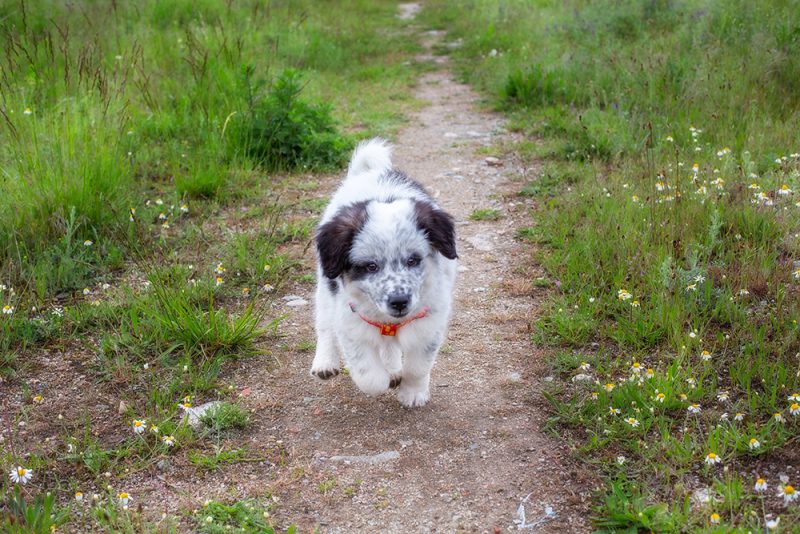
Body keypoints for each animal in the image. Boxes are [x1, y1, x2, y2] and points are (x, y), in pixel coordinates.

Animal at [310, 139, 460, 410]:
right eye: (371, 266)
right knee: (324, 323)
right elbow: (367, 375)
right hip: (325, 286)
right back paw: (325, 362)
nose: (399, 302)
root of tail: (371, 173)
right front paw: (383, 379)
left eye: (413, 260)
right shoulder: (350, 322)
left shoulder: (429, 324)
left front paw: (412, 392)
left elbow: (418, 367)